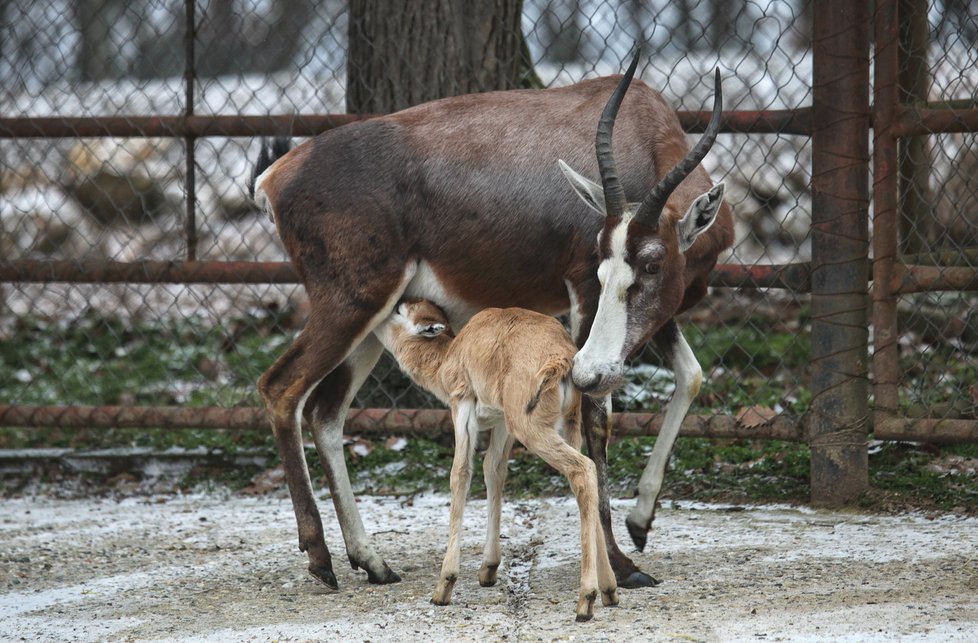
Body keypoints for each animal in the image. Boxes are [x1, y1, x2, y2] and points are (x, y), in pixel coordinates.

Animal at [376, 300, 616, 620]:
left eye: (399, 311)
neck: (449, 357)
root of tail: (562, 359)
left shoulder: (462, 405)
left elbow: (460, 473)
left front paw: (444, 586)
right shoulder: (502, 422)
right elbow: (494, 470)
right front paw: (488, 569)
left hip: (531, 428)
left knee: (583, 469)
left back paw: (586, 600)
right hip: (568, 425)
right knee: (588, 477)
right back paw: (609, 590)